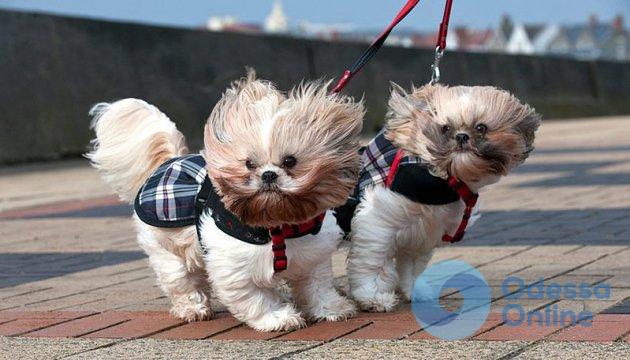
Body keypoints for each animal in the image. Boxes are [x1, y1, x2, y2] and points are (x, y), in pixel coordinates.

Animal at [89, 71, 366, 332]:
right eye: (249, 164)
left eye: (290, 161)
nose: (268, 174)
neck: (276, 226)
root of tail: (169, 161)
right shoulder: (234, 267)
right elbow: (255, 298)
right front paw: (277, 318)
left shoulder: (313, 257)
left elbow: (316, 286)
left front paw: (331, 308)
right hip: (164, 247)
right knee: (181, 280)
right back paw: (193, 308)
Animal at [346, 84, 544, 312]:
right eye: (445, 128)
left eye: (481, 127)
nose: (461, 136)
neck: (443, 180)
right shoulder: (377, 223)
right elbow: (373, 264)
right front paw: (373, 296)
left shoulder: (421, 233)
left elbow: (411, 267)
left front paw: (413, 290)